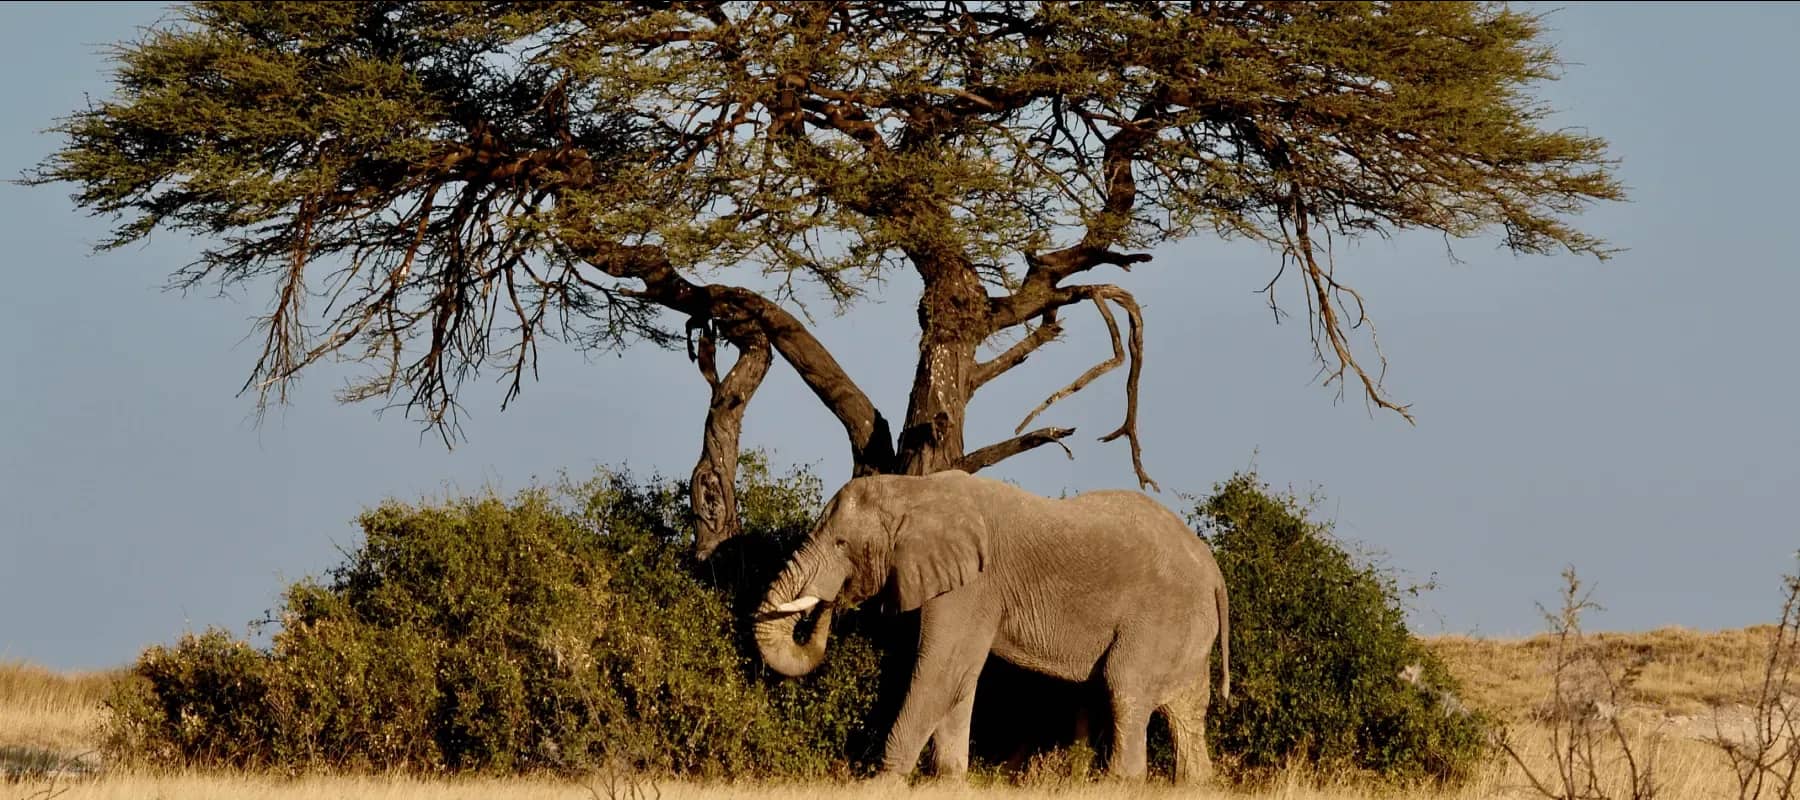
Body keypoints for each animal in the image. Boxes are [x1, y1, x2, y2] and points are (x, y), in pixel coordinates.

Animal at [754, 469, 1231, 783]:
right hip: (1187, 628)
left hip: (1161, 617)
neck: (915, 489)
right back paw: (1195, 782)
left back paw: (1117, 784)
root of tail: (1214, 572)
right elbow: (960, 678)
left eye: (841, 544)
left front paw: (880, 783)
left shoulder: (973, 586)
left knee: (1124, 685)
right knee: (1187, 711)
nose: (831, 604)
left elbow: (941, 671)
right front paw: (948, 781)